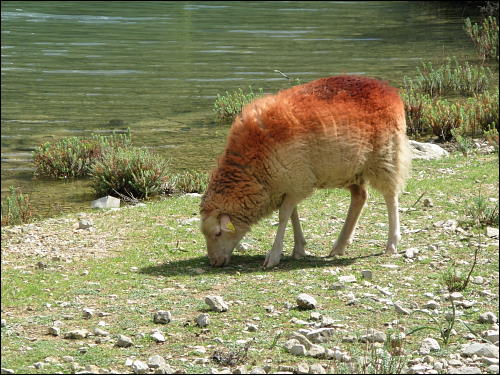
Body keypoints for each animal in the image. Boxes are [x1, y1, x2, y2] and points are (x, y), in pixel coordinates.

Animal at [199, 75, 410, 268]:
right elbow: (293, 214)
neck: (251, 167)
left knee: (391, 197)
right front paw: (299, 248)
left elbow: (284, 215)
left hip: (386, 157)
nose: (214, 262)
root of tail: (387, 89)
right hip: (350, 169)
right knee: (360, 197)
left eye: (218, 232)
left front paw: (274, 256)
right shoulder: (289, 183)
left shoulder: (298, 180)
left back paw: (391, 244)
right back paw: (339, 245)